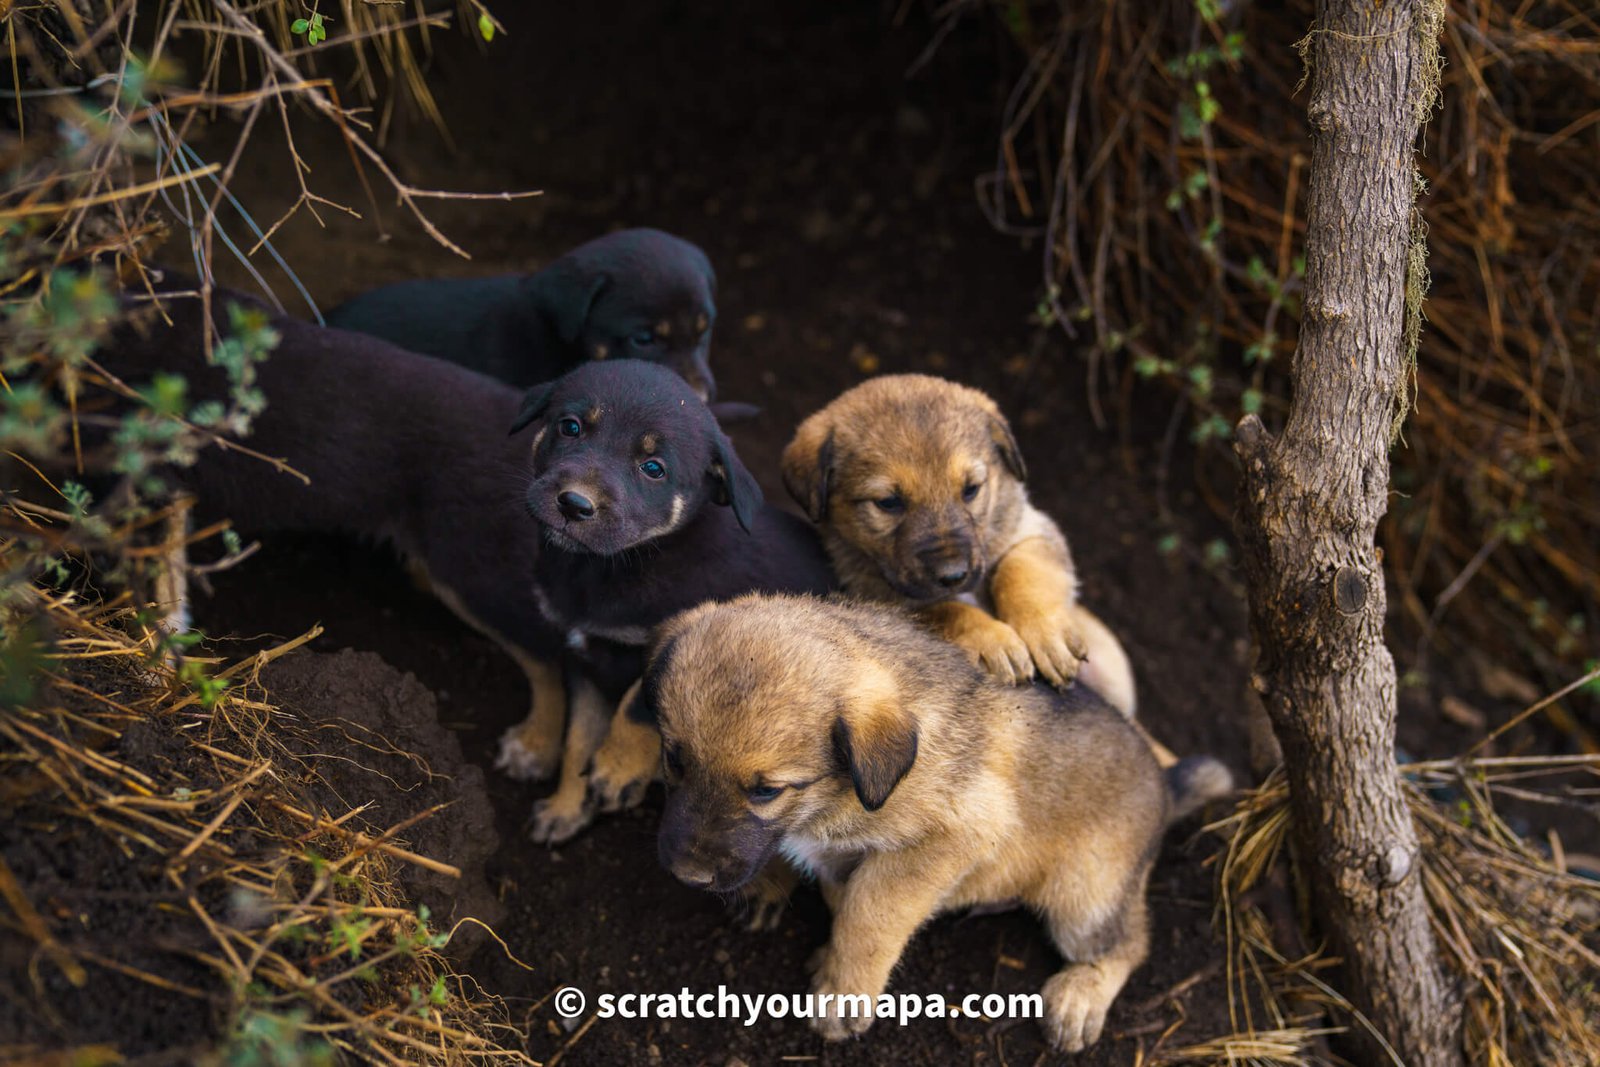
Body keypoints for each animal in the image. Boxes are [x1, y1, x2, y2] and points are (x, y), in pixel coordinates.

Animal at [643, 591, 1228, 1049]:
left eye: (766, 791)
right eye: (674, 759)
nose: (686, 876)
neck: (841, 794)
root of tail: (1164, 784)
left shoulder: (954, 836)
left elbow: (868, 916)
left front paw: (844, 995)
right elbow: (843, 899)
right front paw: (829, 959)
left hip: (1084, 895)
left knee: (1128, 945)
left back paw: (1080, 997)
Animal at [777, 375, 1139, 716]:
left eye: (971, 489)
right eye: (889, 502)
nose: (954, 576)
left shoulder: (1030, 529)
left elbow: (1022, 571)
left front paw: (1045, 634)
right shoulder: (874, 594)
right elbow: (948, 609)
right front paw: (994, 642)